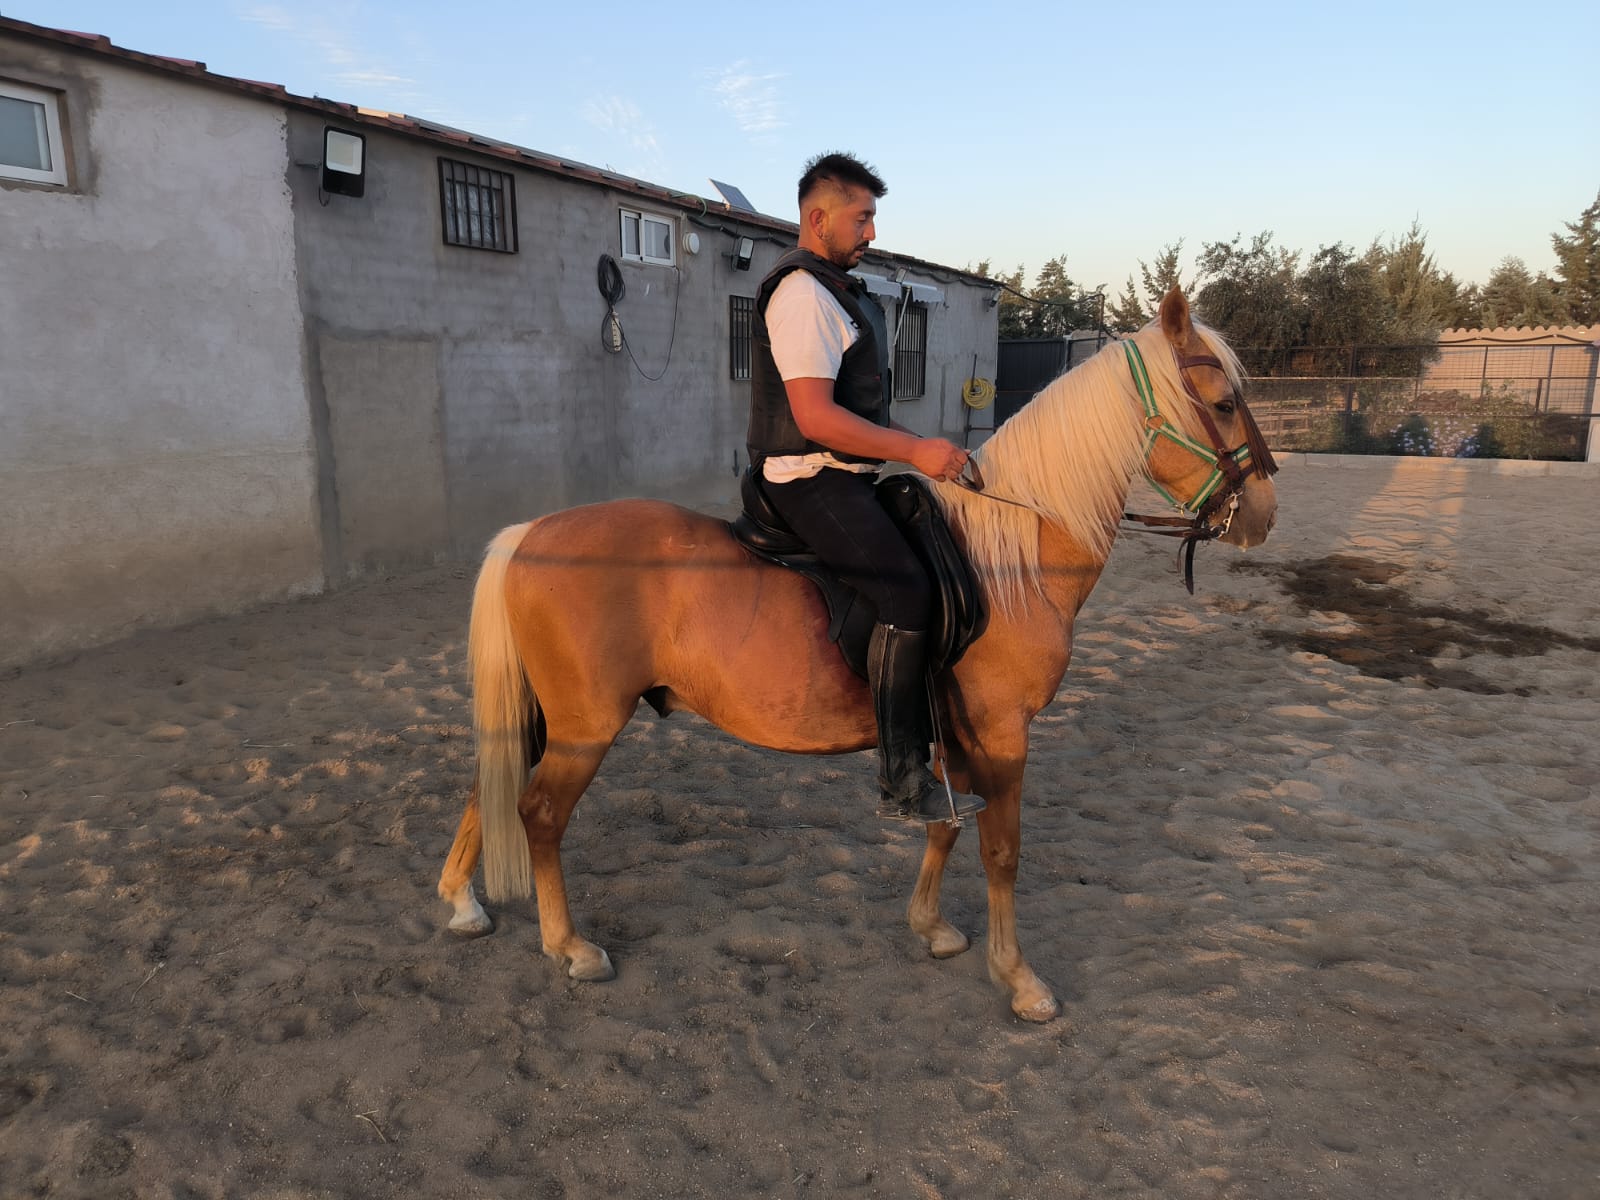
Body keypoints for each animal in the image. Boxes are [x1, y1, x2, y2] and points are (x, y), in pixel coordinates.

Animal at [436, 287, 1278, 1022]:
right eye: (1222, 403)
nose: (1264, 513)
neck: (1012, 554)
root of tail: (532, 533)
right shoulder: (1003, 733)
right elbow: (1002, 851)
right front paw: (1019, 979)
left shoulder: (950, 734)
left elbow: (946, 826)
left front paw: (931, 927)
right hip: (586, 726)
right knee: (539, 814)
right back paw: (569, 946)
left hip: (545, 716)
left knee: (490, 786)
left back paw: (463, 904)